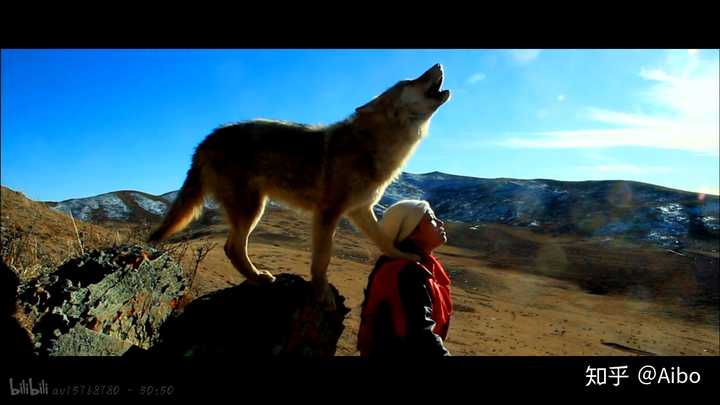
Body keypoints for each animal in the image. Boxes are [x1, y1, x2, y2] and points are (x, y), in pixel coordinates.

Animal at [148, 64, 450, 310]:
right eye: (410, 80)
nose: (438, 63)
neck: (374, 145)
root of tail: (206, 140)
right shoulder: (328, 213)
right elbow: (322, 260)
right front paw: (321, 294)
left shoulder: (361, 211)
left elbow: (384, 241)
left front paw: (406, 256)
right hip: (252, 210)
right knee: (232, 248)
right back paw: (260, 278)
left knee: (231, 247)